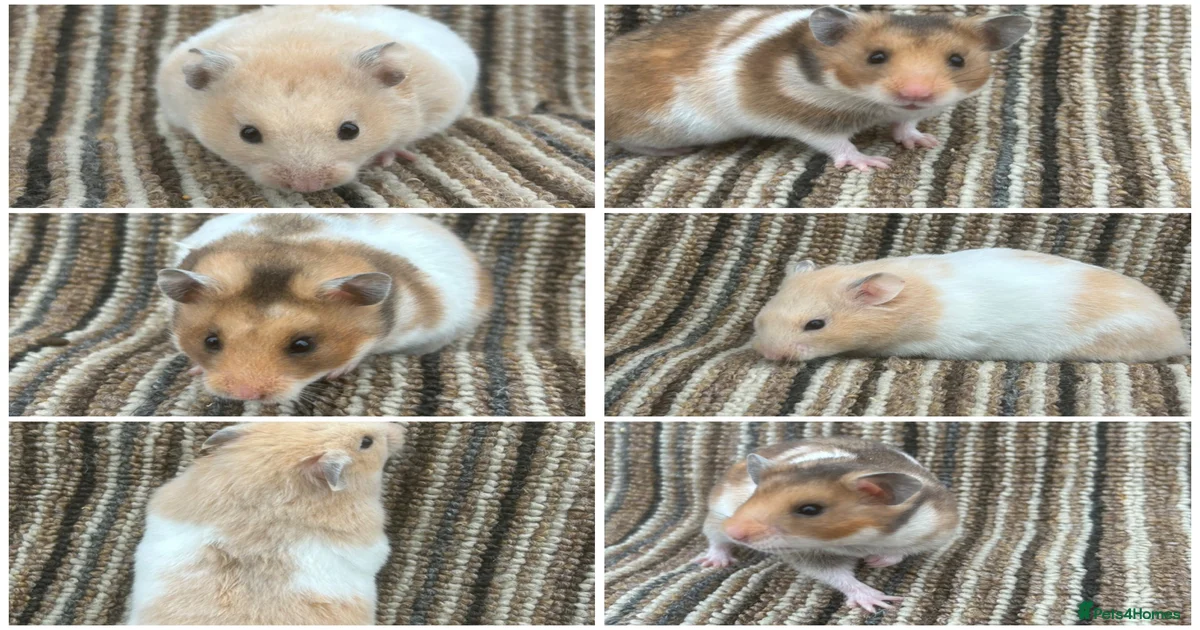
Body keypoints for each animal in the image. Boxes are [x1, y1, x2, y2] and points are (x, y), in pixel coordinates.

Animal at [606, 6, 1031, 170]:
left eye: (957, 60)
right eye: (876, 57)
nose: (916, 95)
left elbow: (906, 126)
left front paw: (923, 142)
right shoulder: (800, 116)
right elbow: (836, 143)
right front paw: (872, 163)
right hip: (653, 124)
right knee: (628, 141)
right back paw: (678, 150)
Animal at [696, 437, 958, 613]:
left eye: (810, 510)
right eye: (754, 495)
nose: (732, 530)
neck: (859, 540)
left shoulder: (935, 528)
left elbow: (900, 553)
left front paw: (875, 562)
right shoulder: (809, 554)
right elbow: (839, 576)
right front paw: (880, 601)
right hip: (716, 518)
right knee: (715, 540)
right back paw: (715, 561)